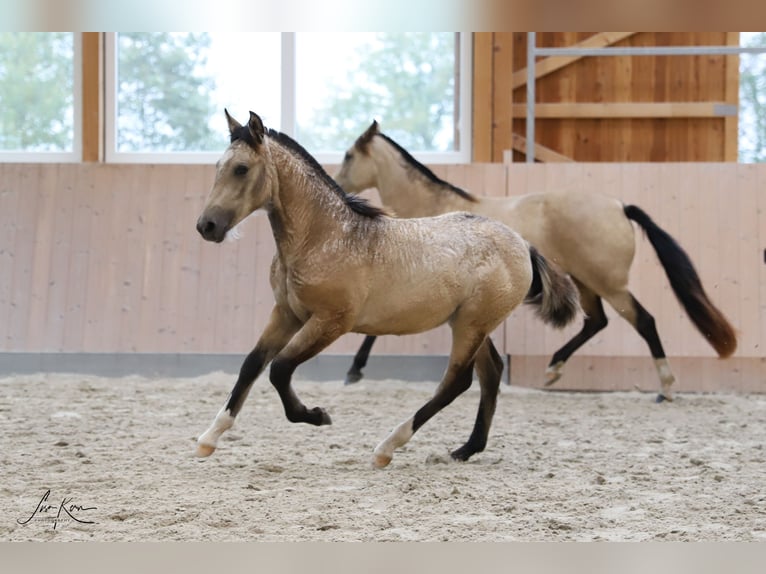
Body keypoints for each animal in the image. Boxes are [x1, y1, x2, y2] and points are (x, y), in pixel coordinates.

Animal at [194, 111, 584, 468]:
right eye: (218, 166)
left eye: (241, 168)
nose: (206, 226)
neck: (324, 236)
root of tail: (523, 244)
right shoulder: (287, 313)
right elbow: (251, 364)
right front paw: (209, 438)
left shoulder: (331, 321)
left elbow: (279, 368)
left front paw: (317, 415)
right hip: (473, 324)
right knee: (490, 374)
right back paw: (466, 449)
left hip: (471, 325)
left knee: (456, 382)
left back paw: (387, 447)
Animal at [334, 120, 736, 402]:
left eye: (349, 155)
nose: (338, 184)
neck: (434, 211)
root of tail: (620, 207)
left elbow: (373, 330)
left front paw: (354, 371)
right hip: (584, 280)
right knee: (596, 322)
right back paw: (552, 370)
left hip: (608, 283)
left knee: (644, 321)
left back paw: (665, 388)